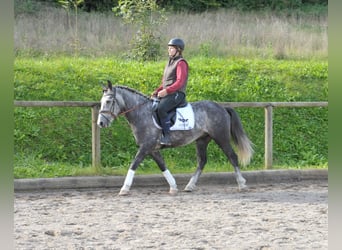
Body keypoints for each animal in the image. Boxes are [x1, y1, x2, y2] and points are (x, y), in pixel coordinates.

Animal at [97, 80, 252, 195]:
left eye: (109, 102)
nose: (101, 123)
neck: (142, 113)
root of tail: (222, 107)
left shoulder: (145, 147)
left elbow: (133, 164)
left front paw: (124, 188)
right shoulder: (152, 149)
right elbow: (162, 166)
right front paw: (173, 187)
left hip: (221, 137)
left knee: (232, 156)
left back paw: (242, 184)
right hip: (202, 140)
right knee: (202, 161)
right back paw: (190, 186)